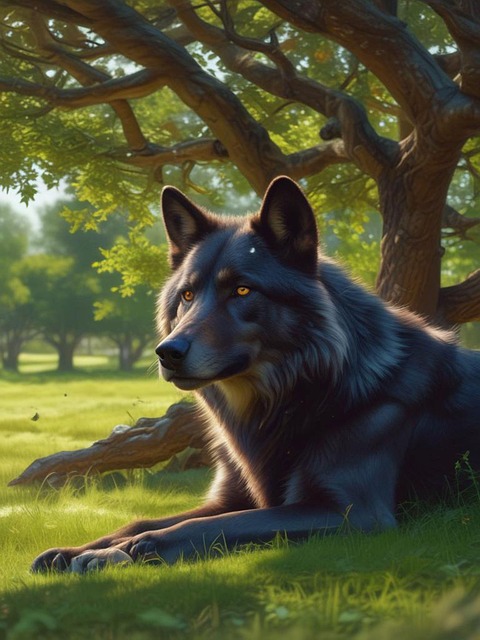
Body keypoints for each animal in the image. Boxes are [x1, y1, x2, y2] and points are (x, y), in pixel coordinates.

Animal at [32, 176, 480, 573]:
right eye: (187, 295)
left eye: (242, 290)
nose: (167, 353)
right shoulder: (230, 497)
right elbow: (145, 520)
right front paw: (80, 550)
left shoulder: (354, 513)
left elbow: (202, 527)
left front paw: (123, 552)